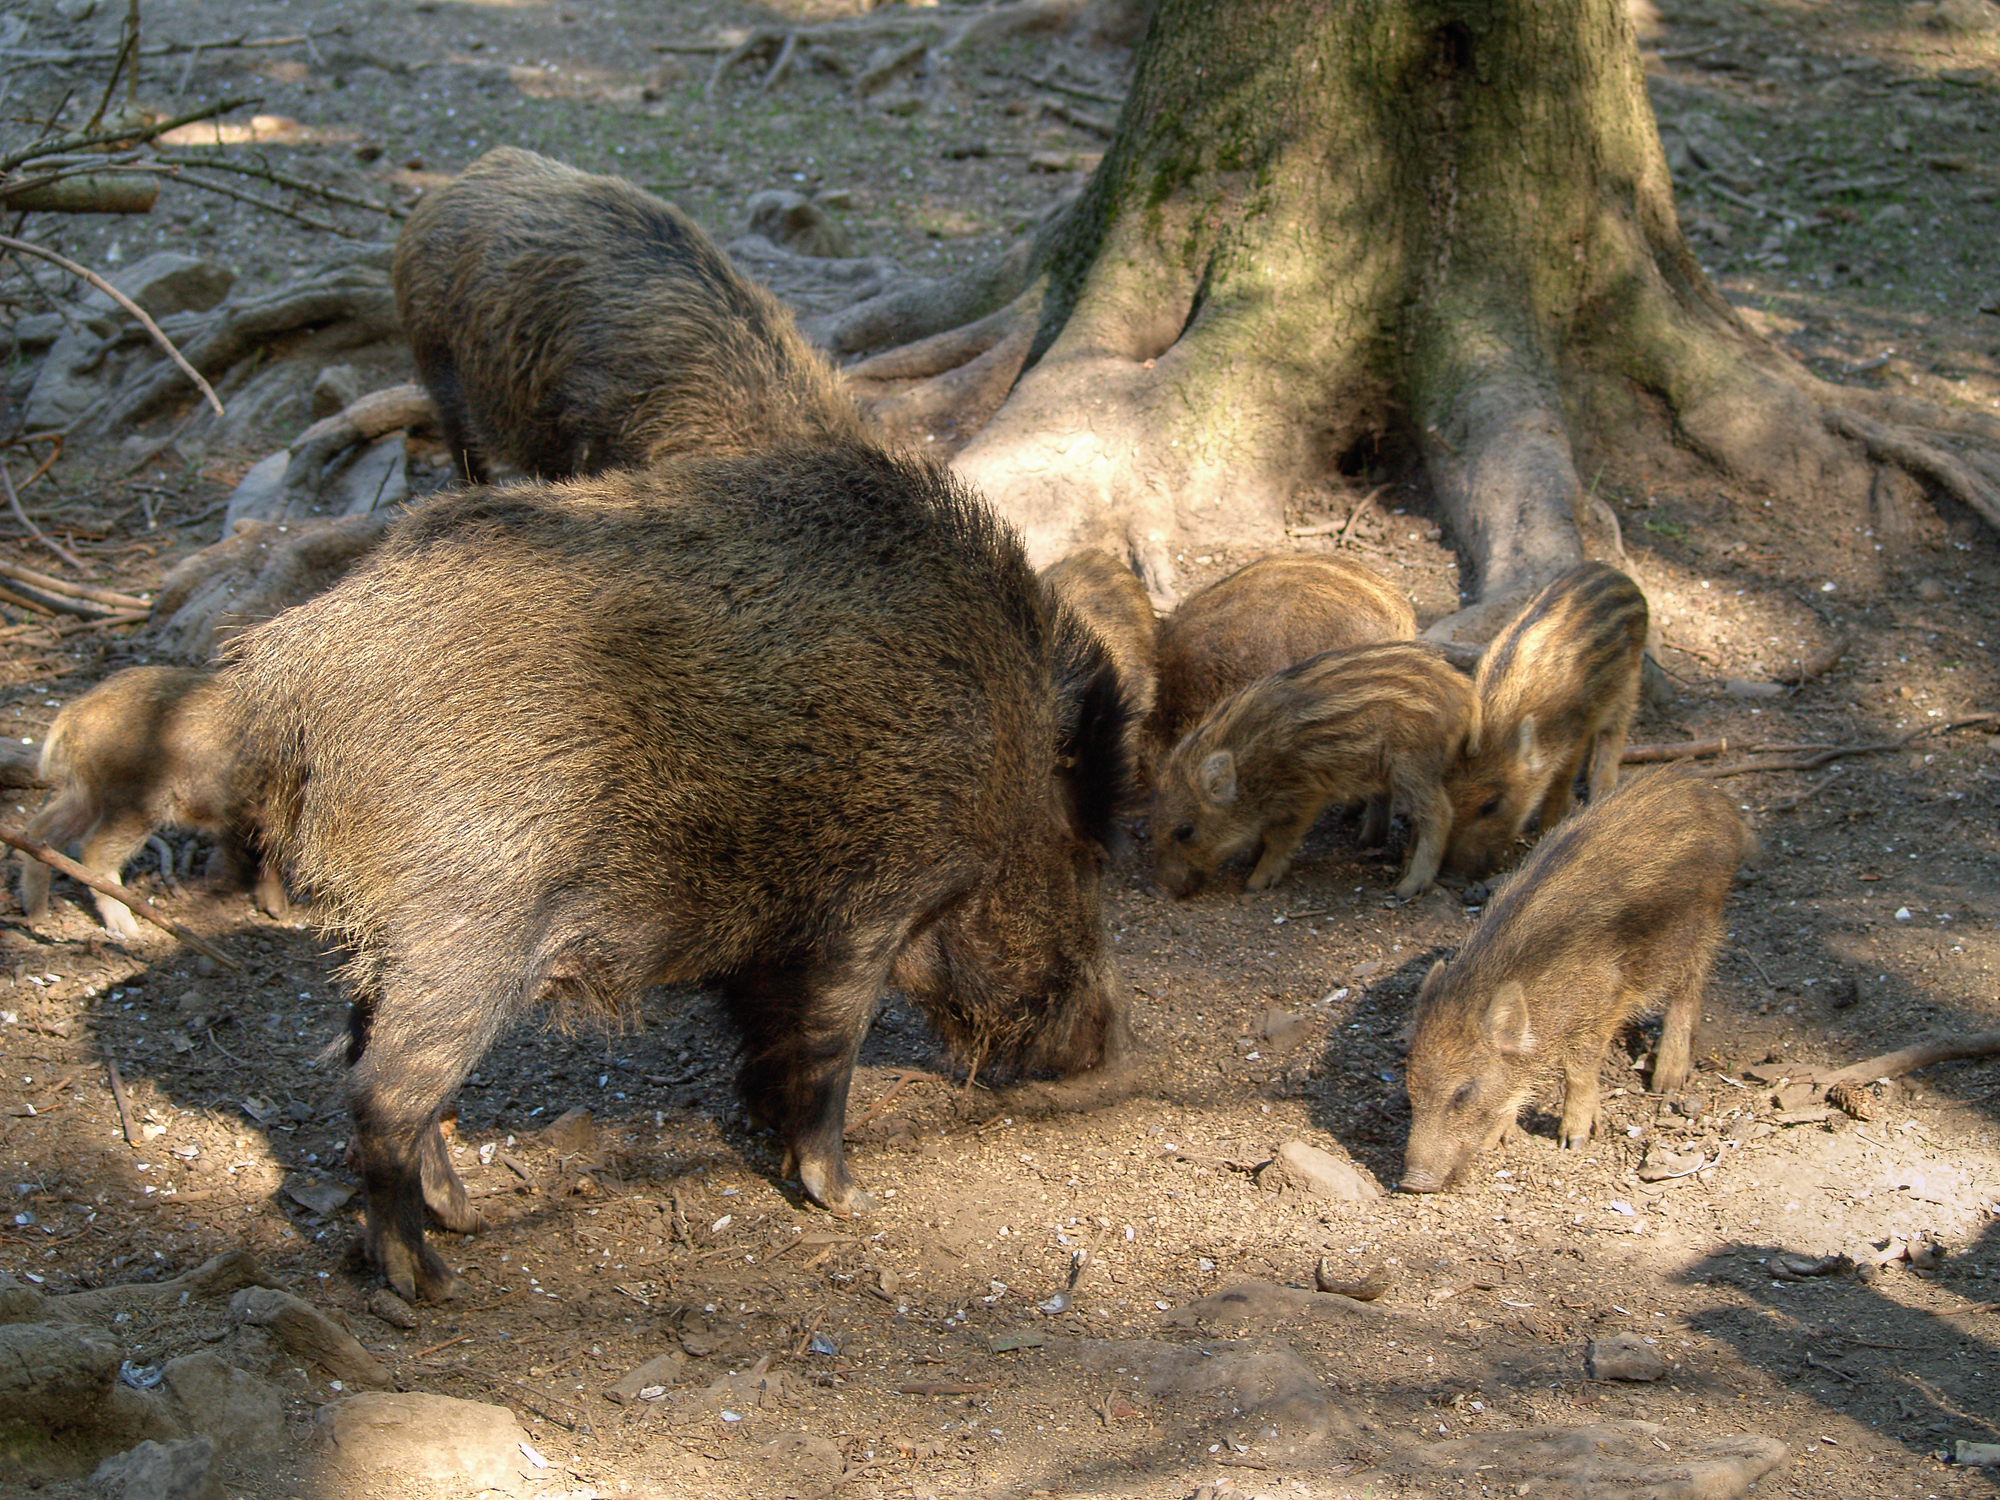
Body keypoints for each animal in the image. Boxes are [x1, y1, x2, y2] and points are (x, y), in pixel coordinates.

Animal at [16, 666, 288, 941]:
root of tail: (73, 714)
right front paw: (281, 914)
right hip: (136, 801)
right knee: (94, 850)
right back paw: (129, 930)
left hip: (87, 792)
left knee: (42, 829)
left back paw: (36, 914)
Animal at [227, 441, 1134, 1301]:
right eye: (1088, 857)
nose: (1109, 1045)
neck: (1000, 760)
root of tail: (287, 678)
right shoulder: (868, 907)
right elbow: (831, 1046)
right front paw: (849, 1199)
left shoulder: (772, 940)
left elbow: (769, 1036)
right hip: (462, 927)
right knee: (382, 1092)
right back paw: (428, 1281)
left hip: (382, 937)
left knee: (366, 1057)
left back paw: (465, 1217)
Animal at [1150, 641, 1479, 901]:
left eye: (1184, 831)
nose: (1167, 892)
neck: (1252, 762)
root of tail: (1466, 691)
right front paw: (1250, 858)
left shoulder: (1304, 796)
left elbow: (1279, 840)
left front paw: (1256, 882)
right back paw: (1366, 842)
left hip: (1413, 764)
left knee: (1438, 813)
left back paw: (1408, 887)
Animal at [1400, 765, 1748, 1192]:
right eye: (1410, 1087)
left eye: (1463, 1093)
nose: (1412, 1183)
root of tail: (1710, 793)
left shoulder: (1599, 1008)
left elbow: (1578, 1072)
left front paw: (1574, 1140)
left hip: (1703, 926)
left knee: (1689, 991)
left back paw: (1665, 1082)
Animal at [1444, 562, 1648, 879]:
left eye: (1491, 805)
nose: (1451, 876)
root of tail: (1613, 571)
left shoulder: (1577, 729)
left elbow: (1560, 781)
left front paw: (1549, 830)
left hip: (1628, 684)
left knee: (1613, 736)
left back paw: (1602, 792)